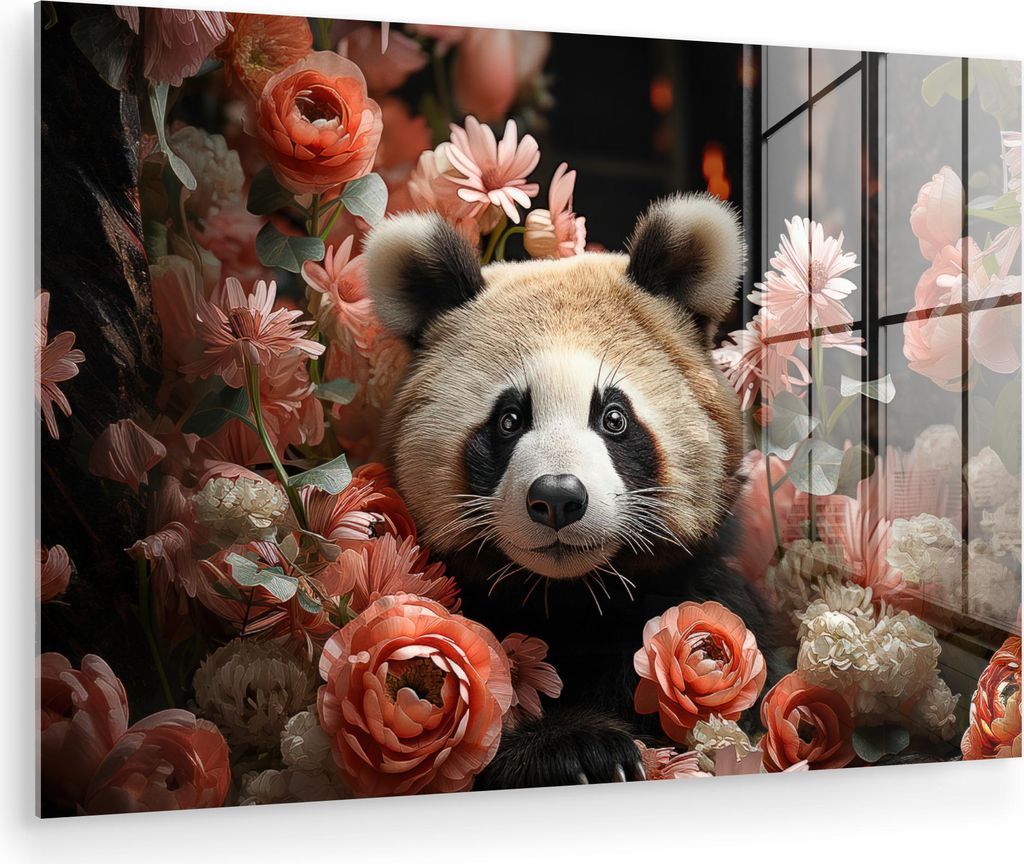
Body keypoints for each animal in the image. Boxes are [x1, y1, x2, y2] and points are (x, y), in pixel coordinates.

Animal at [362, 194, 777, 790]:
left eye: (614, 418)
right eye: (509, 420)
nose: (557, 497)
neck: (570, 594)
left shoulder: (705, 595)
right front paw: (582, 750)